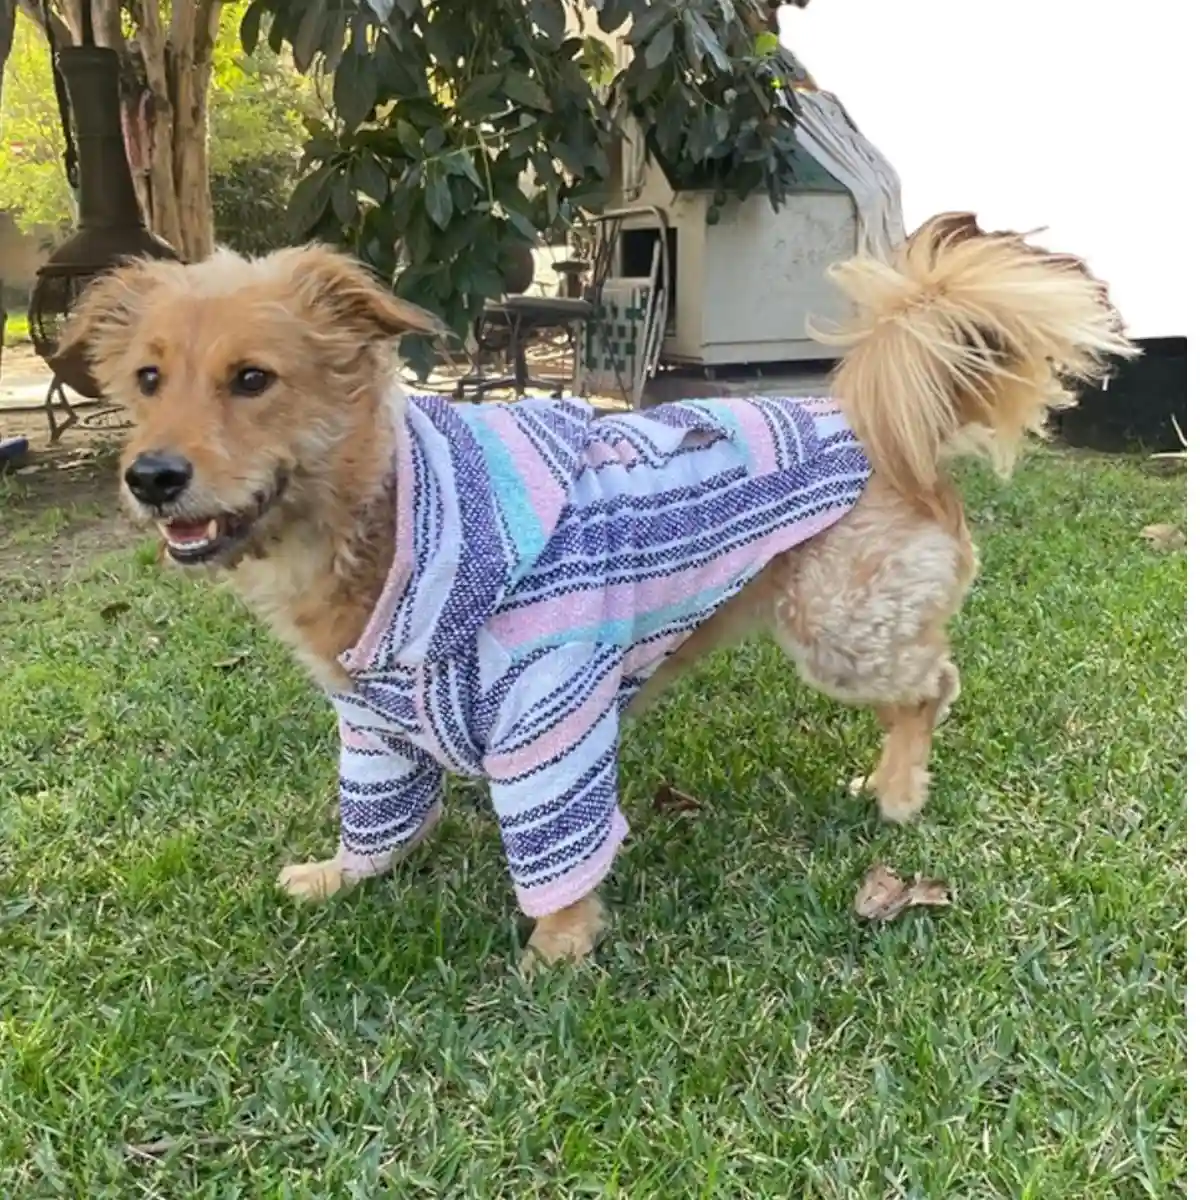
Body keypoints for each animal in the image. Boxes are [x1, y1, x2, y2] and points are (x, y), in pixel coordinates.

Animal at [59, 213, 1134, 967]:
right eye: (147, 378)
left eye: (252, 379)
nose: (150, 477)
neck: (389, 516)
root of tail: (880, 424)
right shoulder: (375, 729)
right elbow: (378, 821)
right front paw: (344, 877)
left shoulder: (548, 714)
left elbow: (558, 847)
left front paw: (558, 950)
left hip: (841, 628)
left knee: (932, 686)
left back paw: (902, 791)